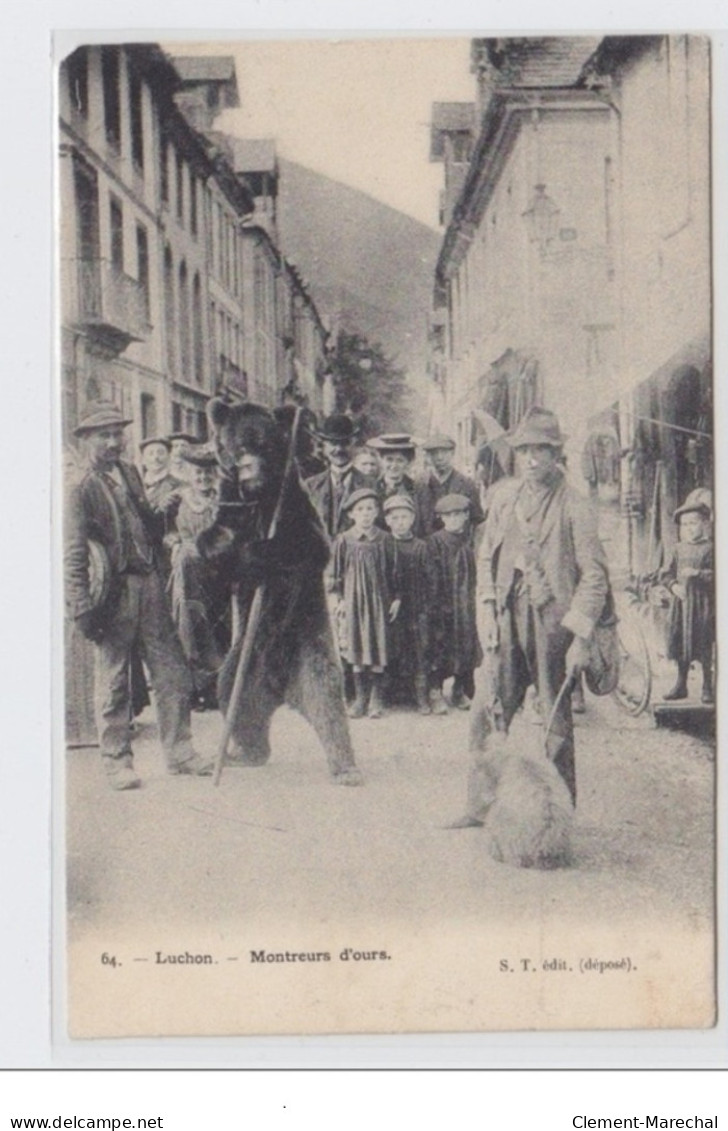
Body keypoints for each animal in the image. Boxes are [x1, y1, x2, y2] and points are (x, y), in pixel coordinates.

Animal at [197, 398, 361, 787]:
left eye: (265, 445)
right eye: (240, 447)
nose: (251, 474)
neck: (260, 500)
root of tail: (280, 688)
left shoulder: (294, 506)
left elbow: (309, 545)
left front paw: (259, 554)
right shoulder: (230, 507)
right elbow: (214, 545)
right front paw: (234, 552)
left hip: (310, 648)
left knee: (328, 701)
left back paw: (345, 767)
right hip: (242, 663)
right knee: (233, 699)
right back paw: (242, 754)